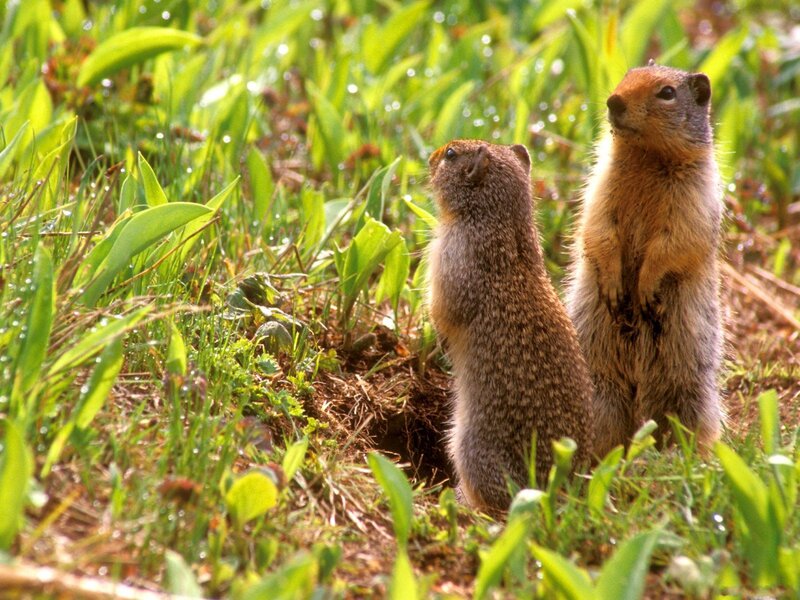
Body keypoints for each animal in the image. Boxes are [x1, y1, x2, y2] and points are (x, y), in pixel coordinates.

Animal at [427, 139, 594, 512]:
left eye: (450, 155)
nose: (430, 157)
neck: (499, 219)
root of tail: (558, 492)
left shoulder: (451, 262)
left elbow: (443, 311)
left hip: (470, 446)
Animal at [566, 63, 725, 457]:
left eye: (667, 93)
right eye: (627, 74)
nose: (613, 101)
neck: (646, 158)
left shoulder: (694, 198)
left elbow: (675, 242)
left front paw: (646, 288)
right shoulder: (601, 185)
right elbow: (598, 227)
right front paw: (613, 286)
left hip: (690, 392)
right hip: (599, 386)